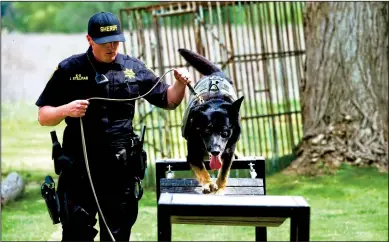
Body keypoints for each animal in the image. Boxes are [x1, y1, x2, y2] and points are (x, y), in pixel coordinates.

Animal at [178, 49, 242, 195]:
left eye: (225, 132)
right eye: (206, 131)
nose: (215, 151)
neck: (215, 102)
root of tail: (215, 74)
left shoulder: (228, 151)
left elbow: (224, 171)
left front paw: (220, 188)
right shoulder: (193, 152)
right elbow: (201, 168)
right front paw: (208, 183)